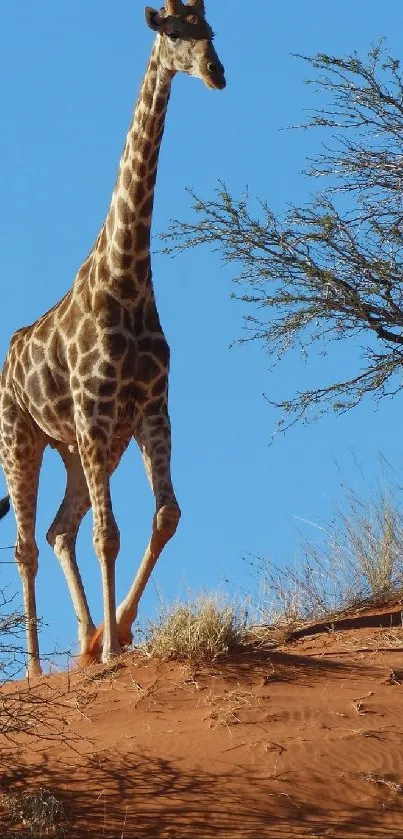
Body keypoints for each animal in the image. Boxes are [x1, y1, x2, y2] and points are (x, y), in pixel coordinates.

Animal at [0, 0, 226, 676]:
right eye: (173, 32)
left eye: (211, 31)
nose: (216, 73)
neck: (126, 279)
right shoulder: (98, 412)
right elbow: (111, 533)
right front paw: (107, 652)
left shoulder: (150, 410)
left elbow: (165, 514)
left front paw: (114, 634)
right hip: (22, 439)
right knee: (27, 543)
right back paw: (37, 668)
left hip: (77, 446)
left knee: (58, 530)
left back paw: (82, 640)